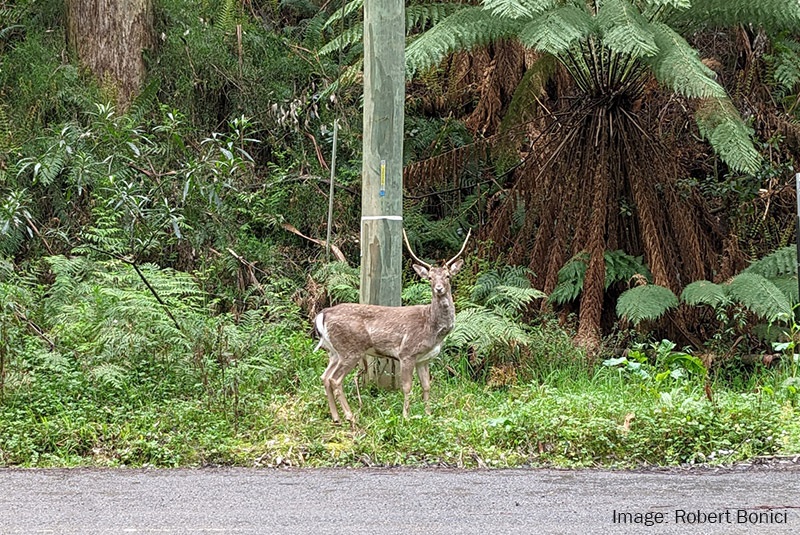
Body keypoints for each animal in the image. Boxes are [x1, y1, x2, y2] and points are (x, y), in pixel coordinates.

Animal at [314, 229, 471, 424]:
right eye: (430, 278)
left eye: (448, 276)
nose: (439, 288)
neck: (432, 329)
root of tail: (323, 314)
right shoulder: (406, 352)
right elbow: (407, 387)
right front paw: (406, 417)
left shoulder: (424, 359)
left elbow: (426, 386)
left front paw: (428, 415)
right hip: (350, 349)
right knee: (335, 379)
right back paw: (350, 416)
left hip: (334, 351)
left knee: (325, 376)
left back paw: (336, 417)